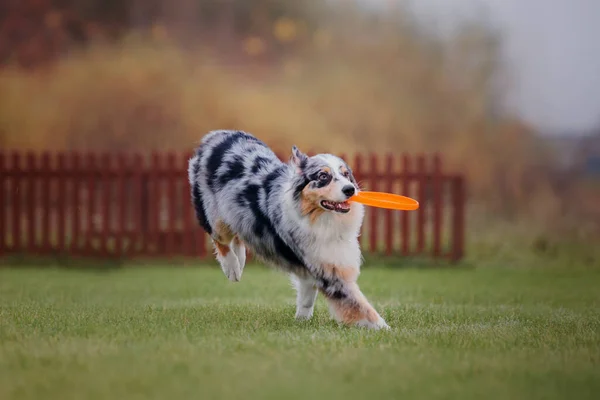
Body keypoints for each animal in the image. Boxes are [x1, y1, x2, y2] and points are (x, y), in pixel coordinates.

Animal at [190, 130, 392, 330]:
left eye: (346, 174)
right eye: (323, 177)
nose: (350, 190)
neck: (320, 218)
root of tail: (216, 135)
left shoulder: (317, 264)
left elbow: (307, 299)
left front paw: (301, 321)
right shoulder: (331, 275)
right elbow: (361, 306)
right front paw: (386, 329)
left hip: (240, 216)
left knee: (238, 234)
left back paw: (240, 258)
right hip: (215, 213)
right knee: (219, 238)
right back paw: (232, 267)